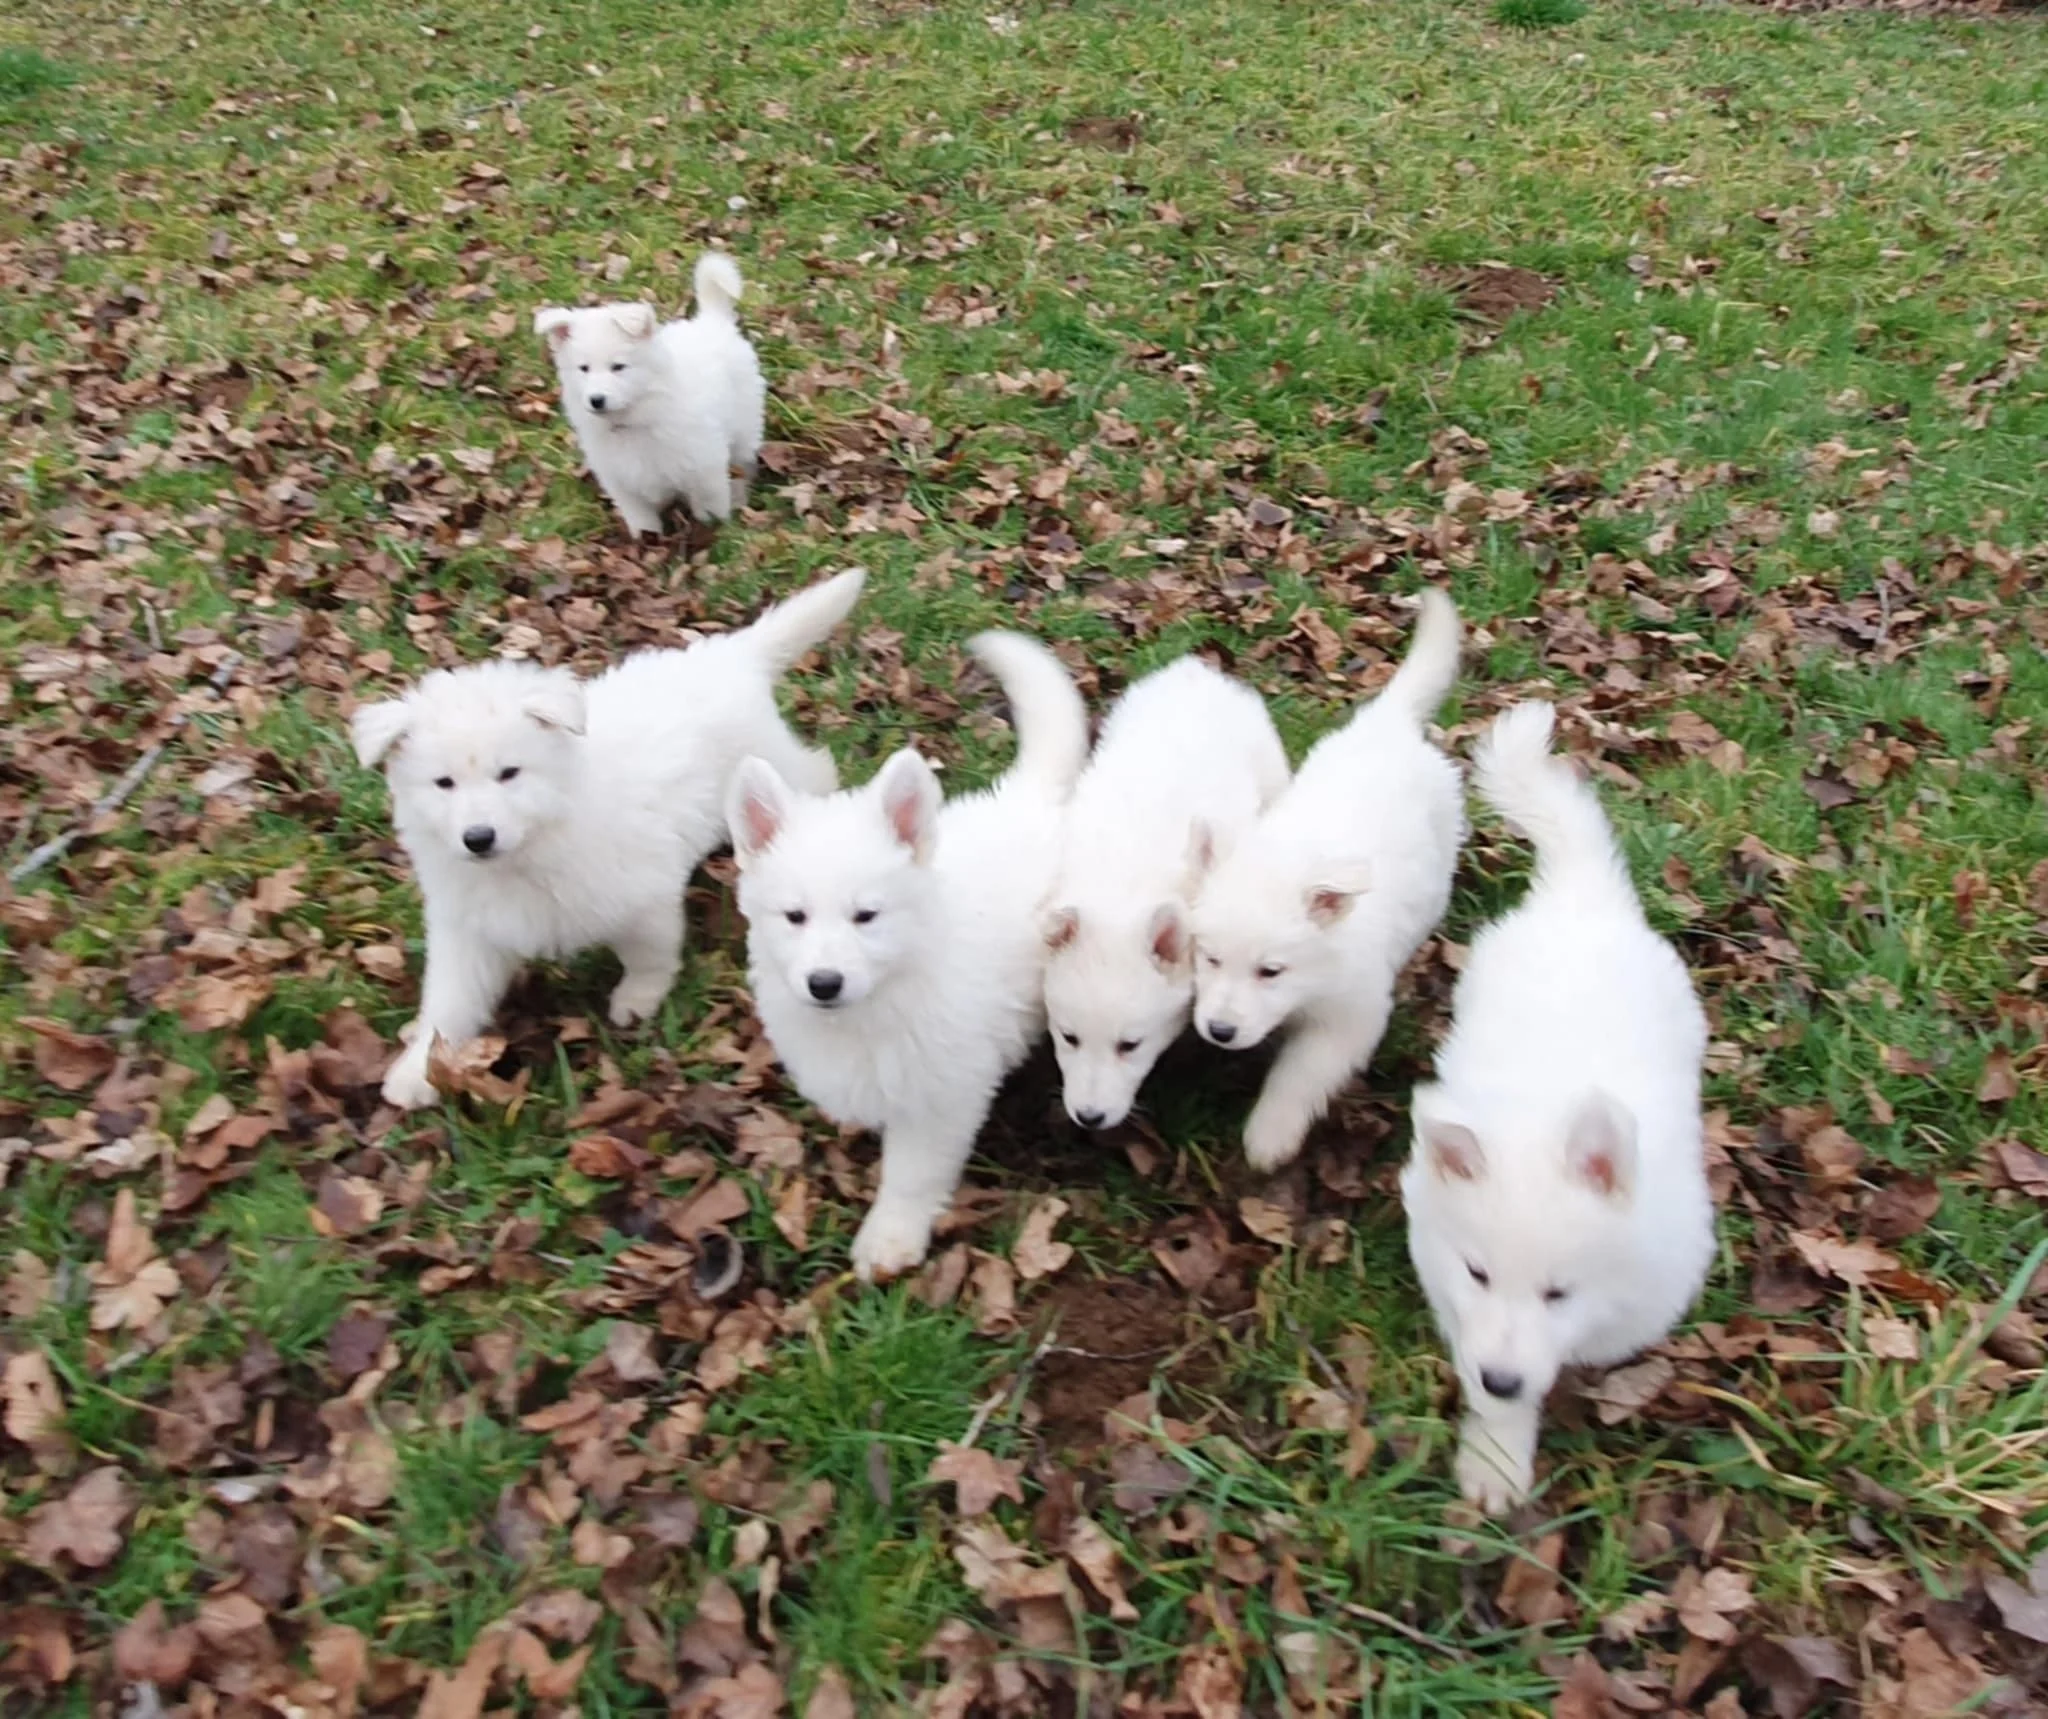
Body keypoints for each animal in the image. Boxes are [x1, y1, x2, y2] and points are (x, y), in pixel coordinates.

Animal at [352, 568, 865, 1110]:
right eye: (443, 783)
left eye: (509, 774)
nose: (478, 838)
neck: (536, 842)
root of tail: (728, 655)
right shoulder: (469, 929)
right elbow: (449, 1003)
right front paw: (418, 1071)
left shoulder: (642, 894)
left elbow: (648, 954)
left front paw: (637, 1001)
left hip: (774, 764)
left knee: (815, 771)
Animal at [534, 251, 766, 537]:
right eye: (584, 368)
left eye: (618, 367)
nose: (596, 400)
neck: (635, 420)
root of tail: (712, 321)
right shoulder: (623, 483)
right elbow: (642, 519)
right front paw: (647, 540)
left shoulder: (703, 467)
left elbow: (709, 507)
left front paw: (713, 533)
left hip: (745, 423)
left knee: (743, 458)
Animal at [727, 632, 1089, 1280]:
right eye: (794, 917)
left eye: (866, 916)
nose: (824, 983)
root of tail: (1034, 801)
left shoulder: (944, 1094)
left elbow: (913, 1173)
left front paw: (891, 1238)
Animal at [1191, 589, 1465, 1172]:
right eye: (1211, 958)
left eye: (1270, 971)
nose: (1219, 1032)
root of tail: (1388, 726)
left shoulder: (1349, 1016)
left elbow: (1300, 1073)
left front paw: (1269, 1135)